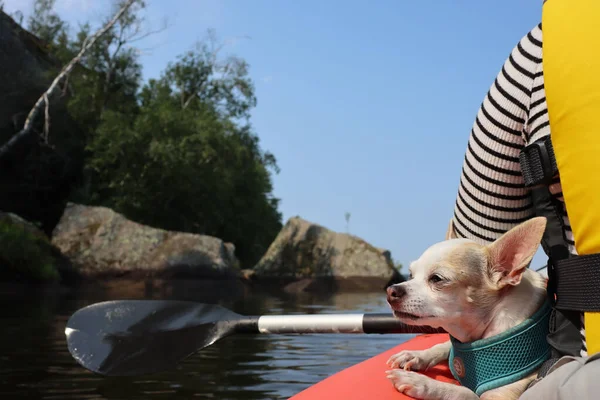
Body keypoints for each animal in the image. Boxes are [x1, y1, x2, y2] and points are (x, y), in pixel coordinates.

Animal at [384, 217, 548, 398]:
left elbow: (463, 391)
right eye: (411, 275)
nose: (391, 291)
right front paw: (417, 355)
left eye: (437, 279)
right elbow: (444, 346)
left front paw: (421, 383)